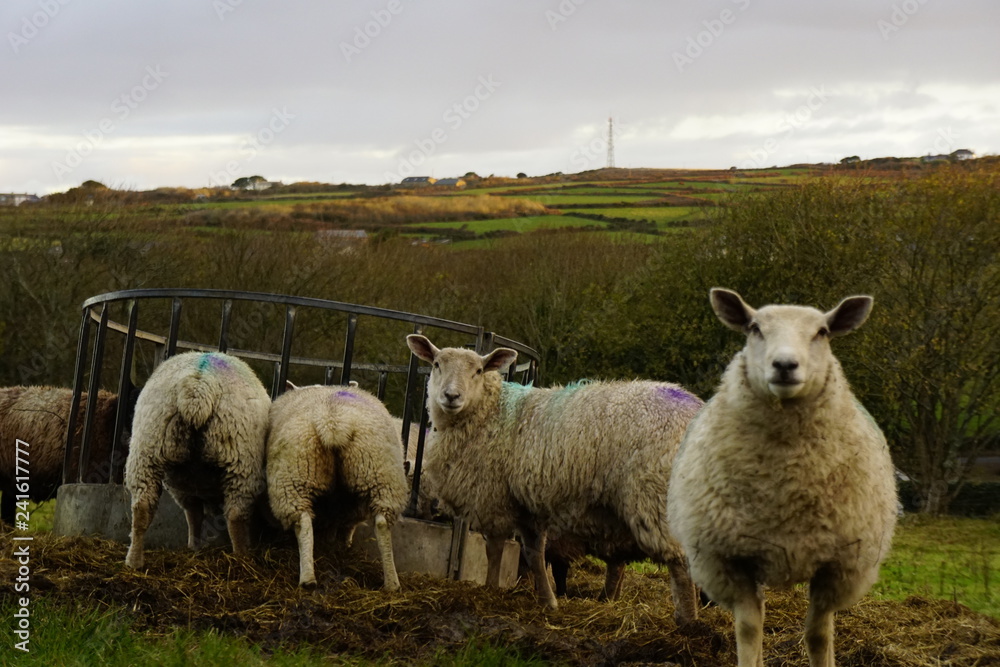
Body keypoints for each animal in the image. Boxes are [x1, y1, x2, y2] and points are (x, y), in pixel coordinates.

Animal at [124, 351, 270, 569]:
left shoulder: (185, 486)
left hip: (147, 449)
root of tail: (198, 386)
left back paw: (134, 561)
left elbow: (194, 514)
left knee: (142, 507)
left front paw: (194, 546)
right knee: (236, 515)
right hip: (241, 459)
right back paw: (241, 558)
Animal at [266, 383, 409, 590]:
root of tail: (333, 422)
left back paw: (308, 578)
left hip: (293, 476)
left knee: (303, 523)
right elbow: (343, 523)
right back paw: (392, 583)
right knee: (382, 523)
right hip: (380, 474)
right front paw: (338, 545)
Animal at [406, 334, 703, 621]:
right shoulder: (526, 506)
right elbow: (534, 554)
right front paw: (548, 601)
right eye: (436, 364)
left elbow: (495, 550)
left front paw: (490, 589)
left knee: (681, 561)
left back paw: (687, 622)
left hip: (655, 494)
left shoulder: (493, 497)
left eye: (478, 370)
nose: (451, 396)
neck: (490, 412)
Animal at [667, 289, 898, 667]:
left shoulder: (837, 567)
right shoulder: (730, 561)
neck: (784, 487)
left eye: (822, 332)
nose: (785, 365)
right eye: (755, 328)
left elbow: (819, 636)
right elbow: (748, 629)